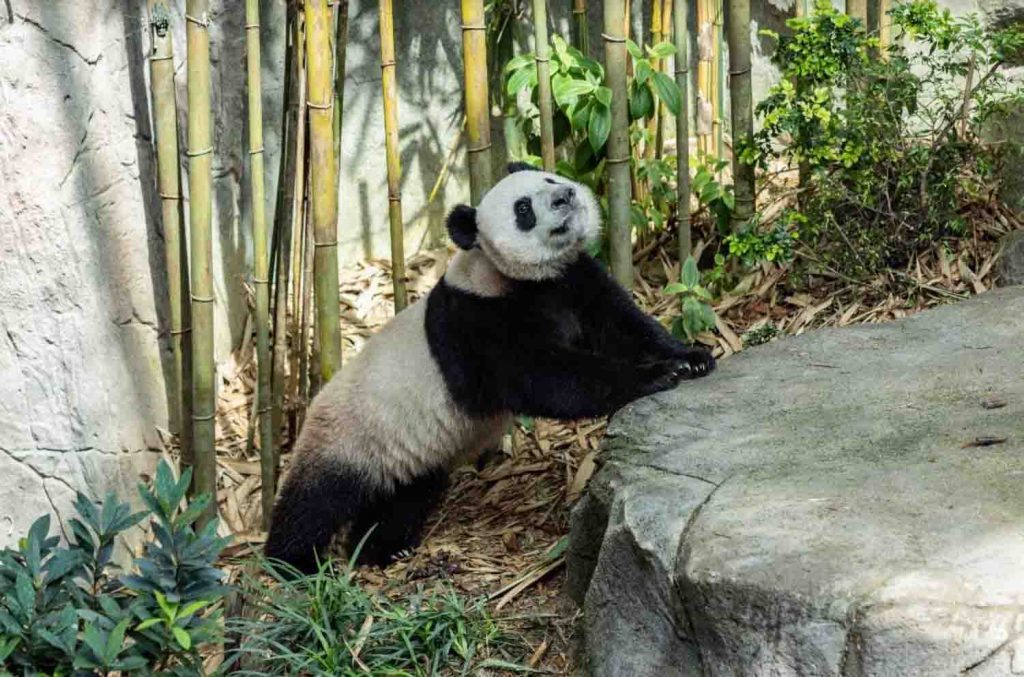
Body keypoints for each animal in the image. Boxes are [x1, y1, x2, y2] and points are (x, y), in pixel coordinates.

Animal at [264, 163, 715, 573]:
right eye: (523, 209)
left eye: (548, 178)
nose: (565, 195)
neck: (517, 277)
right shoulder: (478, 322)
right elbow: (544, 378)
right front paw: (655, 375)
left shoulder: (574, 280)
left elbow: (621, 325)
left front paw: (690, 357)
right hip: (349, 435)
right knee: (315, 501)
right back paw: (292, 562)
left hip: (412, 455)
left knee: (404, 498)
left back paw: (379, 549)